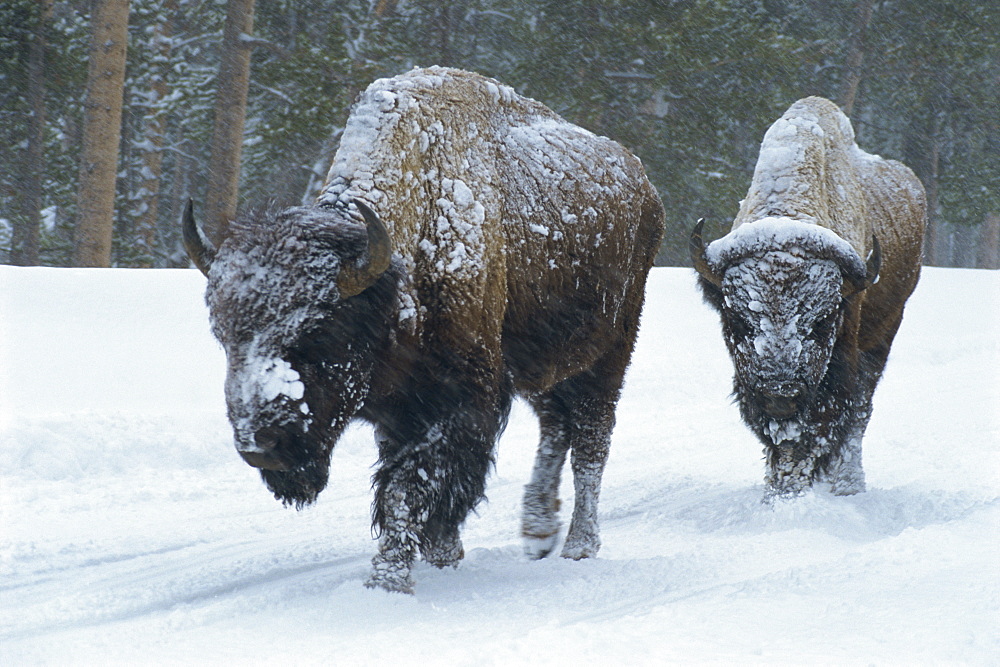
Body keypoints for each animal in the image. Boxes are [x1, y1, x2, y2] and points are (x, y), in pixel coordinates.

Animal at [184, 65, 664, 592]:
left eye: (318, 333)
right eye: (224, 336)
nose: (262, 447)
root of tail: (645, 185)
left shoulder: (461, 402)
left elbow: (407, 488)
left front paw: (389, 580)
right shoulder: (400, 408)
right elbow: (404, 481)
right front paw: (441, 553)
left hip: (610, 353)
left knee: (591, 442)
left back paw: (579, 545)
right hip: (543, 363)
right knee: (557, 426)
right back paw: (538, 531)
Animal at [692, 96, 924, 498]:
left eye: (822, 320)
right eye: (738, 320)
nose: (781, 394)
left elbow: (819, 427)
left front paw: (791, 490)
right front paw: (776, 490)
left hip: (885, 331)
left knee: (860, 411)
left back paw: (847, 483)